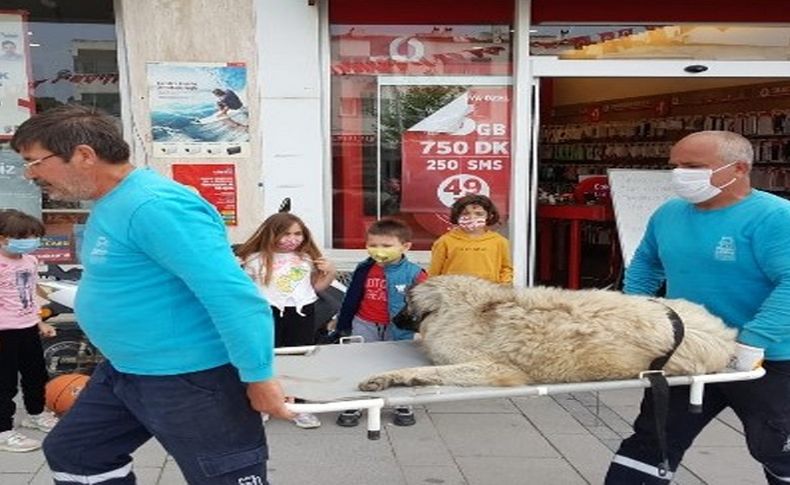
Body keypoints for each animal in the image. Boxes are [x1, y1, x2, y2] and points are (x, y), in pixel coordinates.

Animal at [362, 274, 740, 392]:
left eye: (404, 304)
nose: (394, 318)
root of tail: (726, 334)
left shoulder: (494, 369)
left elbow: (432, 371)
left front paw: (395, 378)